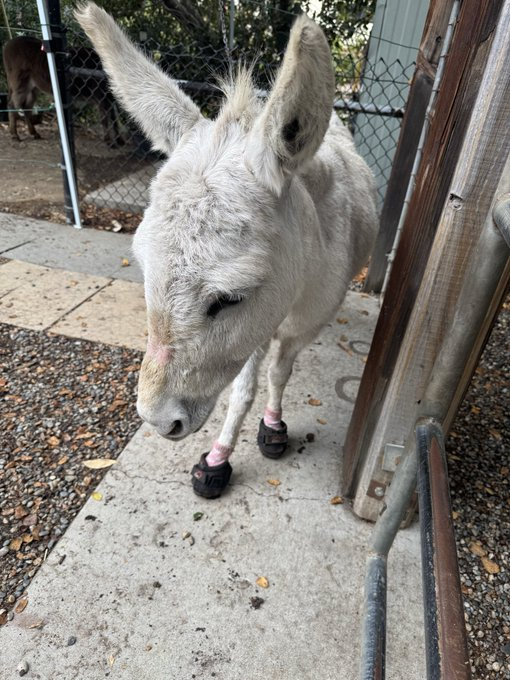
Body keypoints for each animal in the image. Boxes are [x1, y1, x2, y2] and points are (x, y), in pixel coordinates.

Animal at [75, 2, 378, 498]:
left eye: (229, 298)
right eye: (144, 273)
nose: (159, 421)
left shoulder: (298, 318)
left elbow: (278, 373)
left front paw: (273, 428)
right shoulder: (259, 324)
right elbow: (241, 389)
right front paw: (218, 459)